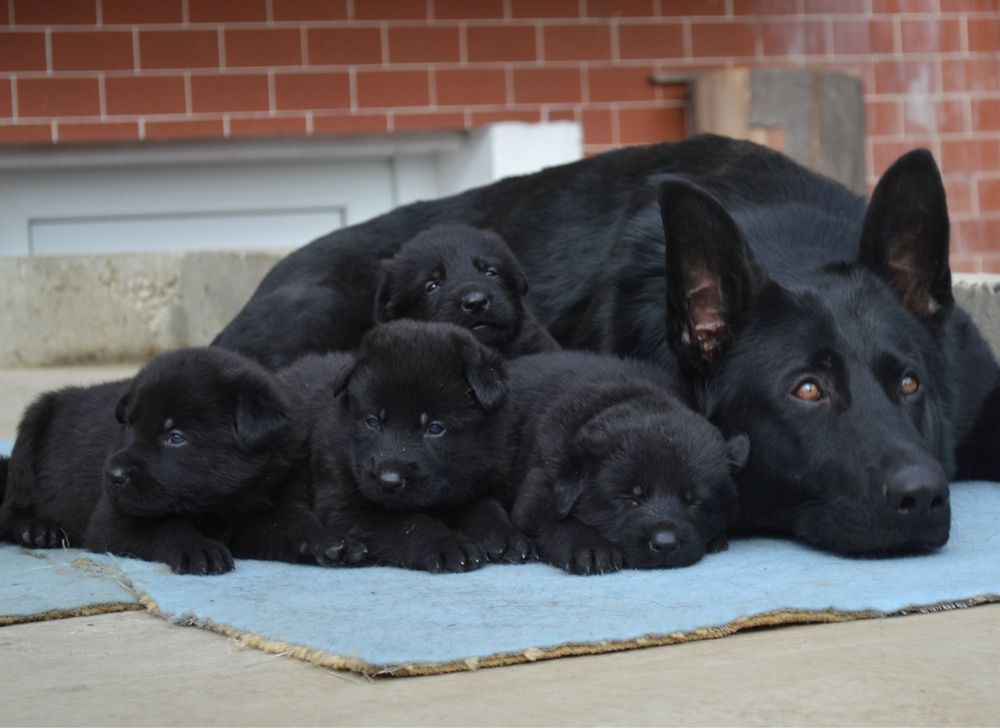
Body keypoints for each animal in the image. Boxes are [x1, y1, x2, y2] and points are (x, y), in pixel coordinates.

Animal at [0, 346, 360, 576]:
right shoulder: (114, 517)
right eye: (129, 425)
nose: (112, 474)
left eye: (175, 437)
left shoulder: (265, 510)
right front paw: (198, 548)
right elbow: (166, 525)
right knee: (9, 505)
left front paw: (330, 541)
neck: (220, 503)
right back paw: (37, 529)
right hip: (31, 431)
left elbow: (292, 523)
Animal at [282, 322, 532, 572]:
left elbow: (484, 506)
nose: (388, 481)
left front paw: (505, 537)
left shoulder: (481, 477)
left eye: (434, 428)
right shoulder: (344, 504)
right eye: (372, 421)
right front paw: (449, 545)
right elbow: (409, 523)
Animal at [508, 352, 752, 576]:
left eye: (694, 501)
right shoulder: (539, 489)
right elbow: (553, 521)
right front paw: (591, 548)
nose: (665, 543)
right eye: (631, 497)